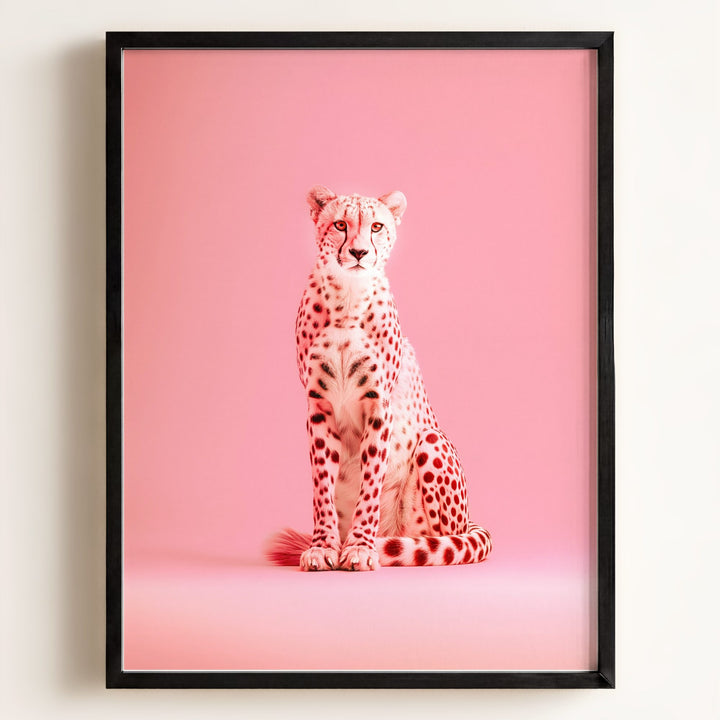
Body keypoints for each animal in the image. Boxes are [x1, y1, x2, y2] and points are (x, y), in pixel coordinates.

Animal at [266, 185, 492, 571]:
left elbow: (371, 481)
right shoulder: (318, 405)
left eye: (376, 226)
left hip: (432, 443)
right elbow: (322, 484)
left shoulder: (378, 405)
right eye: (340, 224)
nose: (358, 252)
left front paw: (359, 546)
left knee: (443, 540)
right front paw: (324, 546)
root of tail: (468, 520)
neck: (347, 298)